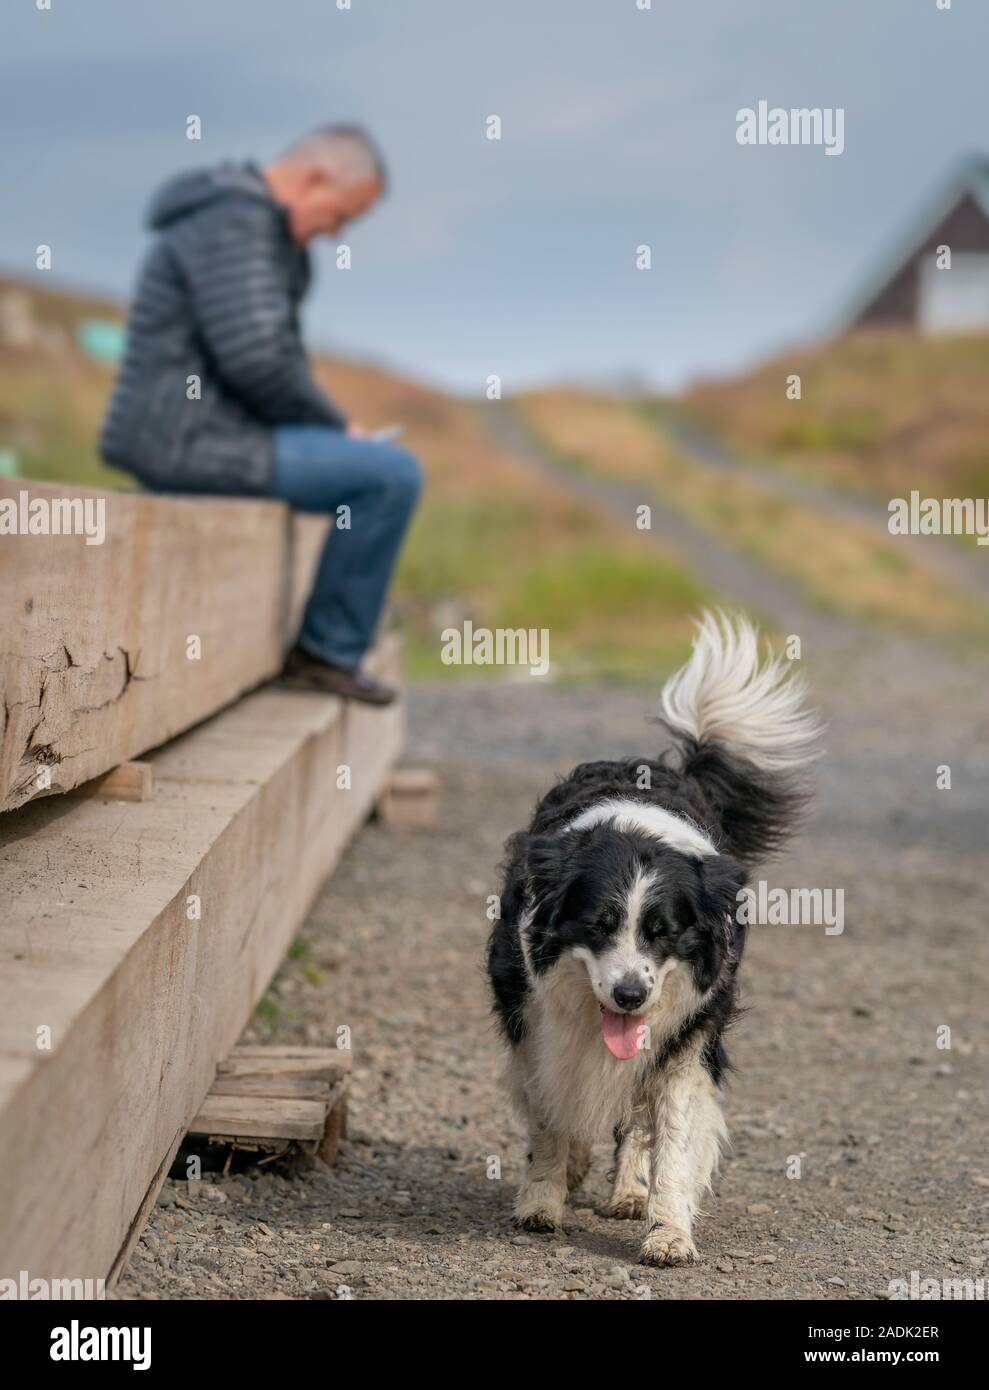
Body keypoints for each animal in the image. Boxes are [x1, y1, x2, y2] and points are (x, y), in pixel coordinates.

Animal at [486, 614, 816, 1267]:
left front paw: (668, 1233)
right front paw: (541, 1200)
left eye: (664, 933)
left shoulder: (688, 1032)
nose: (631, 997)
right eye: (598, 926)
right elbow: (550, 1115)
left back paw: (631, 1192)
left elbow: (674, 1132)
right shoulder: (533, 1021)